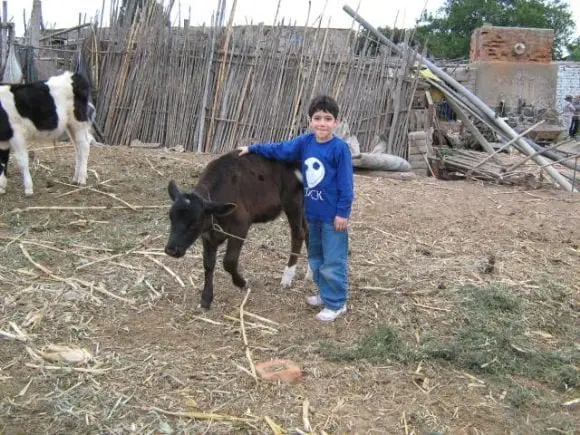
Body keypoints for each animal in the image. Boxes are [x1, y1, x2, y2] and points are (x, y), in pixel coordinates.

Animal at [164, 152, 308, 308]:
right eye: (171, 217)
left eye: (194, 222)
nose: (171, 250)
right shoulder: (207, 234)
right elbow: (208, 264)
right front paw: (206, 298)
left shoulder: (240, 226)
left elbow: (229, 261)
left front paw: (241, 283)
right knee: (309, 232)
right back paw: (310, 274)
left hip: (293, 201)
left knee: (298, 234)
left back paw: (287, 276)